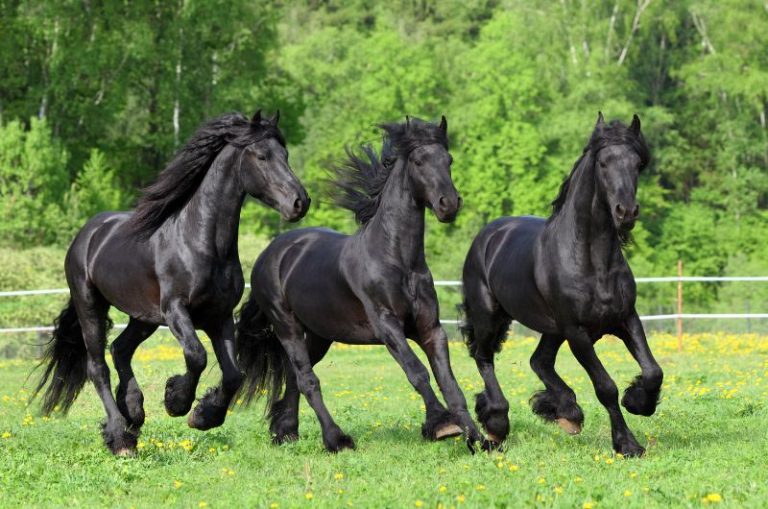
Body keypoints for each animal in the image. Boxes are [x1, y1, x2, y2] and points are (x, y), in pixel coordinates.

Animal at [32, 110, 310, 456]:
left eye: (285, 155)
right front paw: (176, 401)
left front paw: (203, 415)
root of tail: (87, 234)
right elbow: (196, 356)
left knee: (120, 349)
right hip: (91, 305)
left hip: (143, 317)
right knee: (97, 367)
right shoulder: (176, 311)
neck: (200, 242)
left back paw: (133, 412)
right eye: (262, 156)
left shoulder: (219, 316)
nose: (300, 203)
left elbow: (234, 374)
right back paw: (121, 437)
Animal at [235, 117, 490, 453]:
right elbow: (418, 372)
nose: (448, 204)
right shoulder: (387, 326)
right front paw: (441, 425)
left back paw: (285, 431)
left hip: (319, 334)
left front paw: (479, 440)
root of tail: (270, 253)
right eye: (419, 161)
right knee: (307, 380)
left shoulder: (430, 328)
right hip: (286, 326)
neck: (396, 260)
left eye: (448, 160)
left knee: (295, 375)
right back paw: (336, 439)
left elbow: (450, 383)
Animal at [461, 113, 663, 457]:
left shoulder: (625, 318)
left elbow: (653, 371)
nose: (626, 212)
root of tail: (488, 235)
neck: (591, 261)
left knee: (539, 361)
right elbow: (605, 387)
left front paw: (637, 401)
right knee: (483, 357)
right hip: (490, 317)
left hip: (551, 329)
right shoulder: (577, 332)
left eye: (637, 164)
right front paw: (627, 444)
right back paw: (497, 425)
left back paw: (567, 413)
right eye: (603, 163)